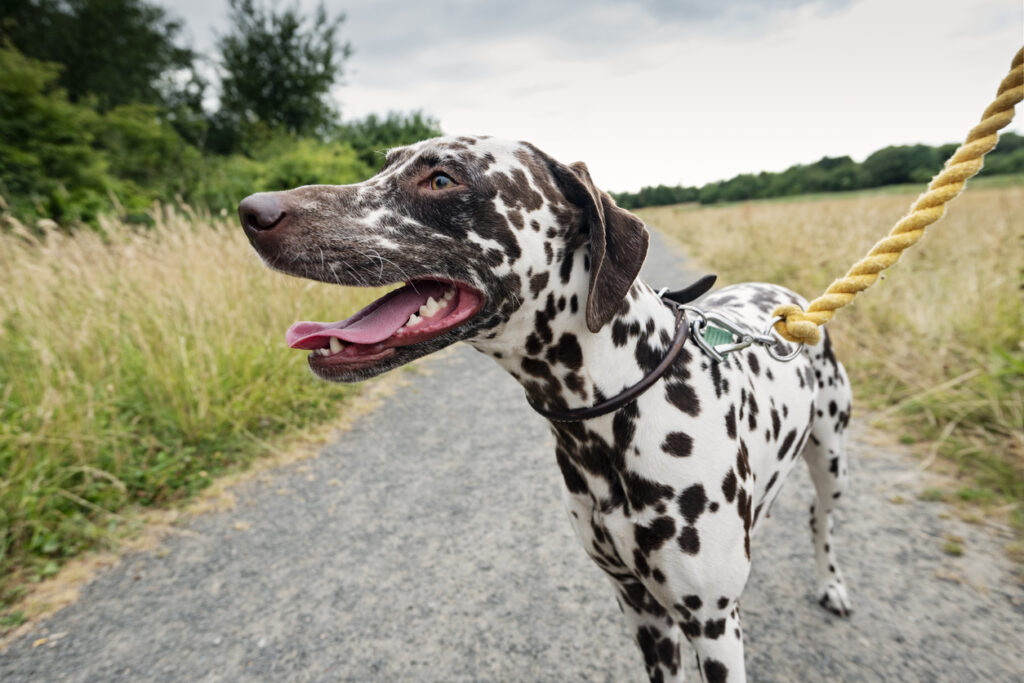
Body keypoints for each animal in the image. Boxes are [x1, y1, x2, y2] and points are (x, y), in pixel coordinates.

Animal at [235, 136, 851, 679]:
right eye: (384, 165)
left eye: (442, 179)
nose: (251, 210)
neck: (620, 405)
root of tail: (785, 300)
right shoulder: (640, 608)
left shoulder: (710, 624)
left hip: (831, 460)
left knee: (819, 519)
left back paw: (832, 584)